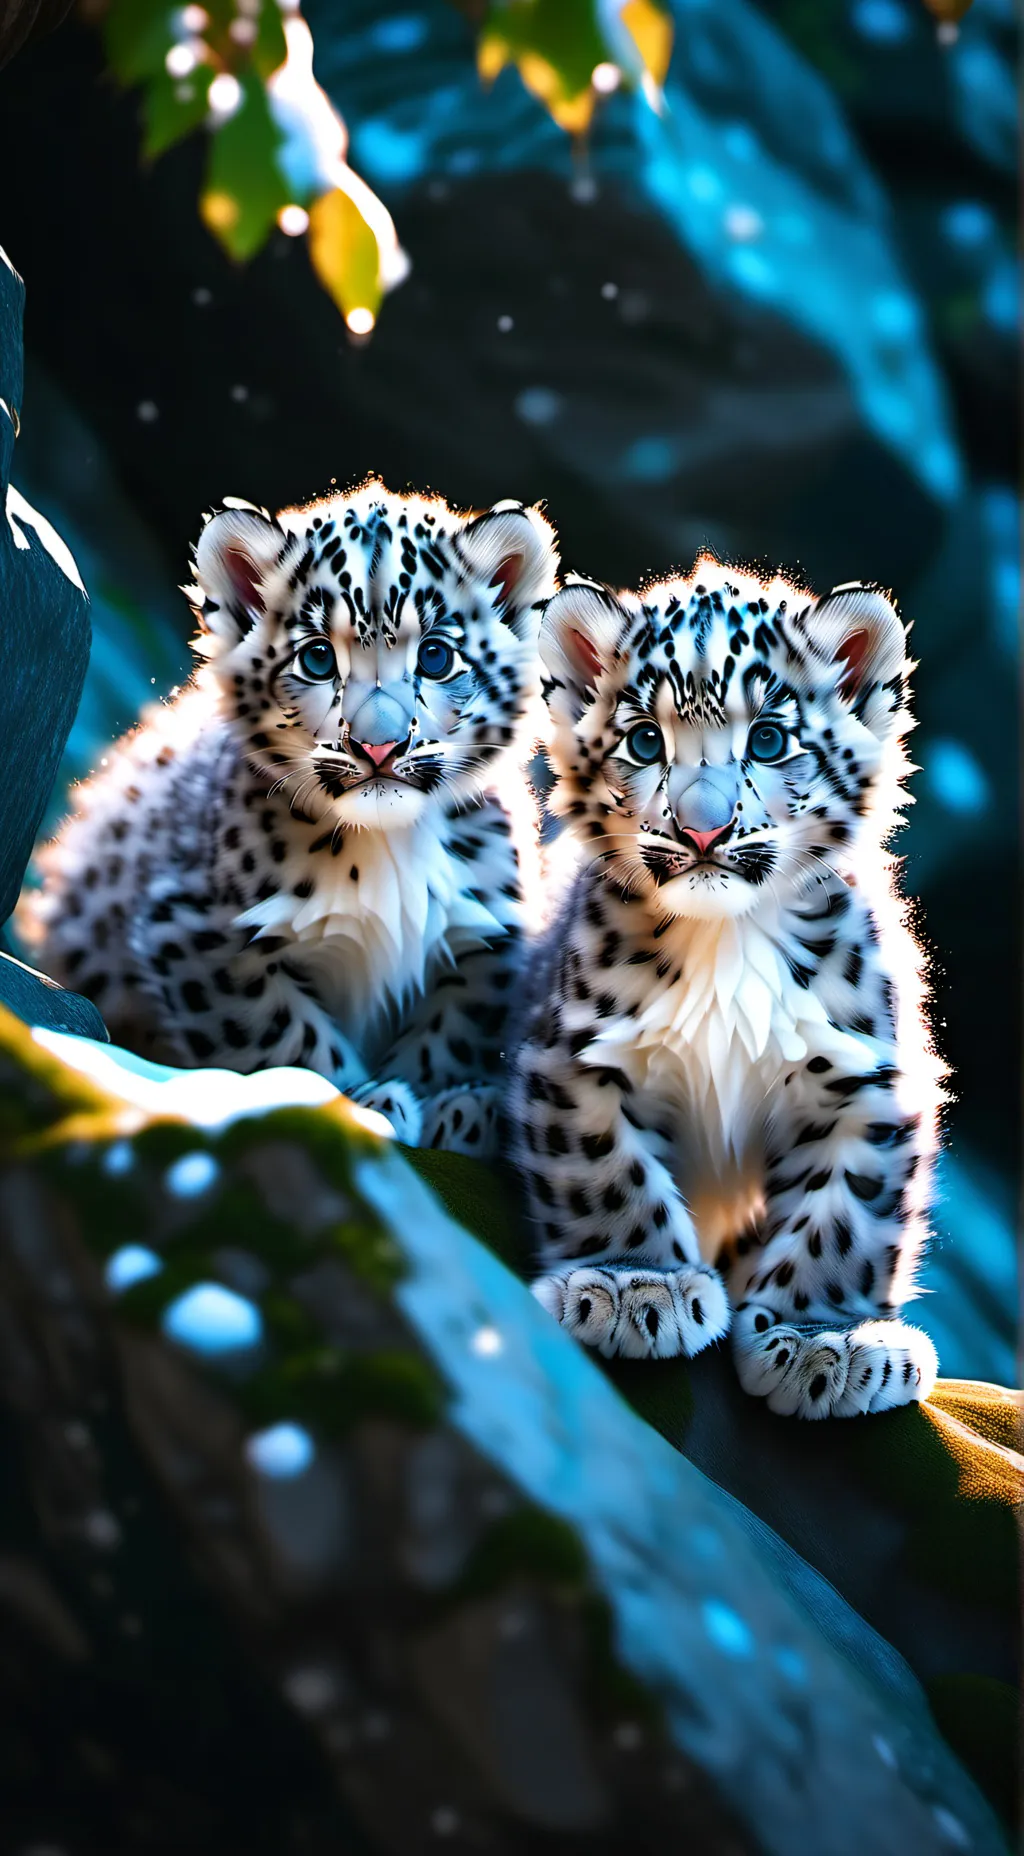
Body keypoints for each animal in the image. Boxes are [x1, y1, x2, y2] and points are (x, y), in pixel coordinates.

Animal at [24, 480, 558, 1155]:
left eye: (436, 656)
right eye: (318, 658)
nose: (379, 745)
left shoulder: (488, 933)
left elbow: (452, 1034)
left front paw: (456, 1110)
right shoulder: (204, 934)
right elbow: (284, 1037)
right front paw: (368, 1103)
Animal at [508, 556, 944, 1417]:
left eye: (769, 738)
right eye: (645, 739)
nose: (702, 829)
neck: (725, 942)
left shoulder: (863, 1080)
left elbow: (846, 1215)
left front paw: (825, 1340)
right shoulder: (578, 1057)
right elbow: (607, 1171)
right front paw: (635, 1285)